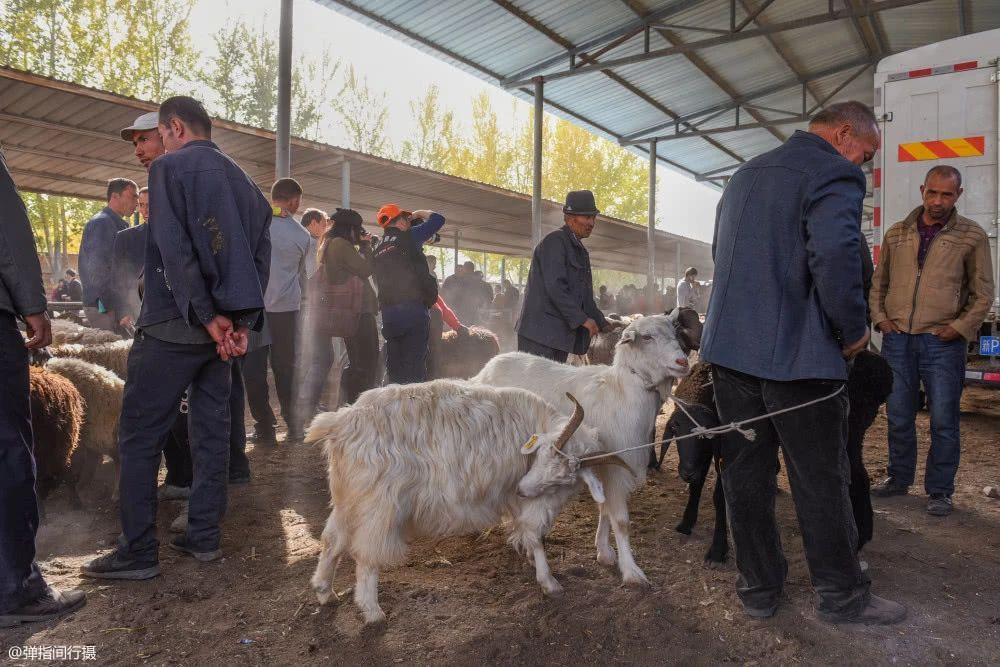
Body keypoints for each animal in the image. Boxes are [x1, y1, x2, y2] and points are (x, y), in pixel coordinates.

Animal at [472, 310, 700, 588]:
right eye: (646, 337)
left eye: (675, 332)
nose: (682, 362)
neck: (622, 393)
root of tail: (488, 367)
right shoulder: (615, 468)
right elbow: (621, 521)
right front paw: (631, 571)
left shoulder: (605, 463)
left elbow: (605, 509)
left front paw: (604, 551)